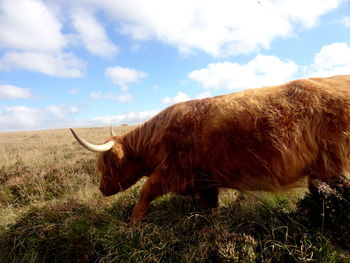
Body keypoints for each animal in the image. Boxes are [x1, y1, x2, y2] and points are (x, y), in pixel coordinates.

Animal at [69, 75, 350, 222]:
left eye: (107, 165)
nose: (101, 189)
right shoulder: (203, 179)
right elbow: (210, 207)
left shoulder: (174, 170)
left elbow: (146, 191)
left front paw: (134, 223)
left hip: (331, 166)